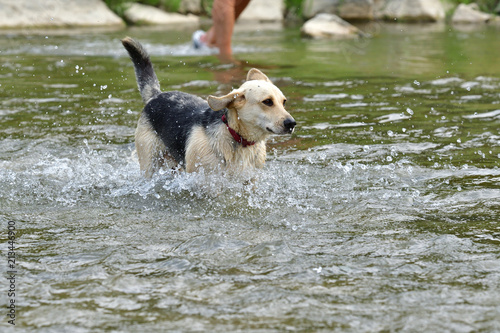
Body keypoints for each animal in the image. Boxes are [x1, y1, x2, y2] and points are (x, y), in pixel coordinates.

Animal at [121, 36, 294, 176]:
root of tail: (156, 95)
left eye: (284, 102)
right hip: (150, 163)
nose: (292, 124)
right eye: (267, 102)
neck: (234, 135)